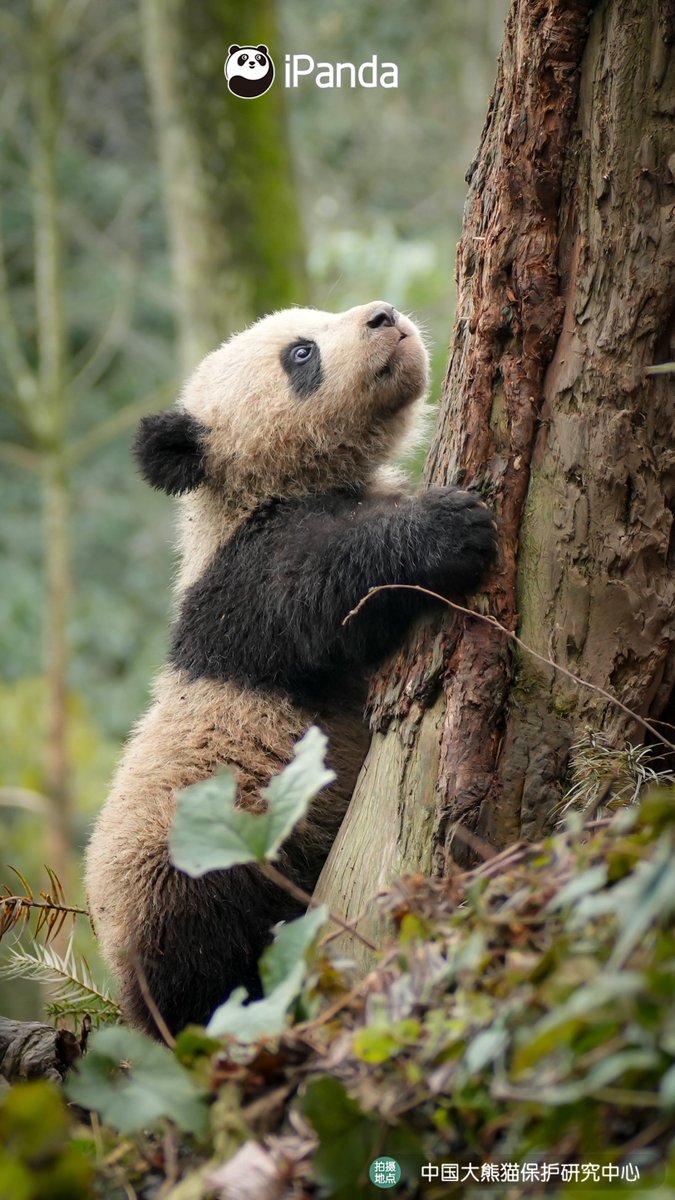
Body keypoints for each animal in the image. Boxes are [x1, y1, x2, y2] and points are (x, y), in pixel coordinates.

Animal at [85, 301, 498, 1037]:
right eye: (301, 353)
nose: (384, 316)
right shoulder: (240, 585)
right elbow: (320, 591)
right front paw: (446, 527)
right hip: (192, 866)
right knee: (209, 966)